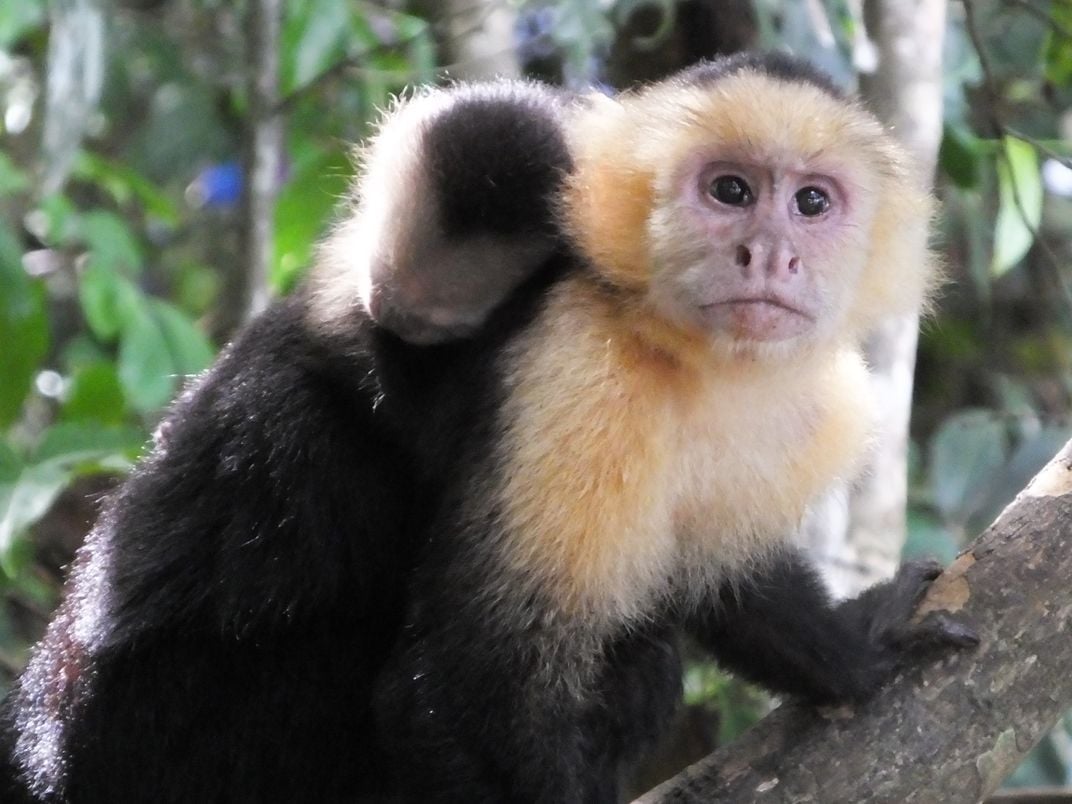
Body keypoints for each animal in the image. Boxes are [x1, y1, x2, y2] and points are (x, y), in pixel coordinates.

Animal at [6, 51, 981, 804]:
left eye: (813, 204)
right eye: (730, 191)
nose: (769, 255)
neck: (690, 357)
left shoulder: (811, 405)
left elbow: (725, 582)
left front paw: (858, 649)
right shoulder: (574, 365)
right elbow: (459, 699)